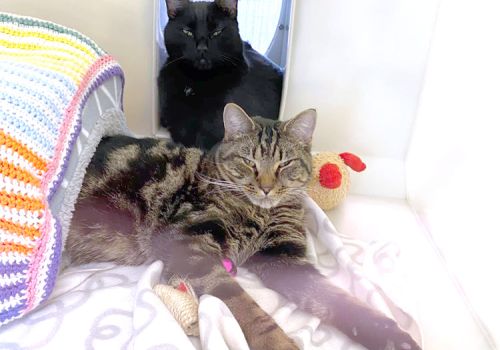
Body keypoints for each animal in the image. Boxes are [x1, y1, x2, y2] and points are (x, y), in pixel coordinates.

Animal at [64, 104, 420, 350]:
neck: (259, 213)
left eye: (284, 164)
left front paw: (389, 333)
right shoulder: (188, 244)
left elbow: (336, 299)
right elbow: (245, 308)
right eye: (248, 162)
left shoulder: (284, 256)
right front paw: (280, 344)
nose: (265, 187)